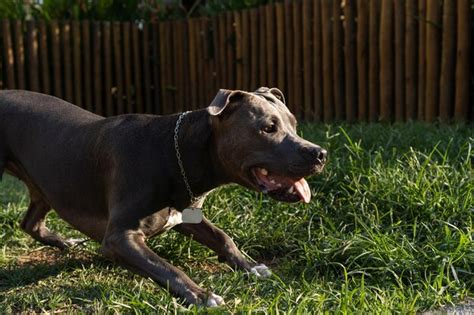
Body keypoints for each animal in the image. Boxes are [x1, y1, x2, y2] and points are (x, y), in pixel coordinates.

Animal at [0, 87, 326, 308]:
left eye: (294, 123)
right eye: (268, 128)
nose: (320, 153)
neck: (177, 150)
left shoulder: (184, 213)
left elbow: (222, 237)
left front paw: (248, 266)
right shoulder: (120, 237)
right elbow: (165, 267)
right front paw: (201, 295)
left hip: (44, 184)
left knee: (30, 222)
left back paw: (62, 241)